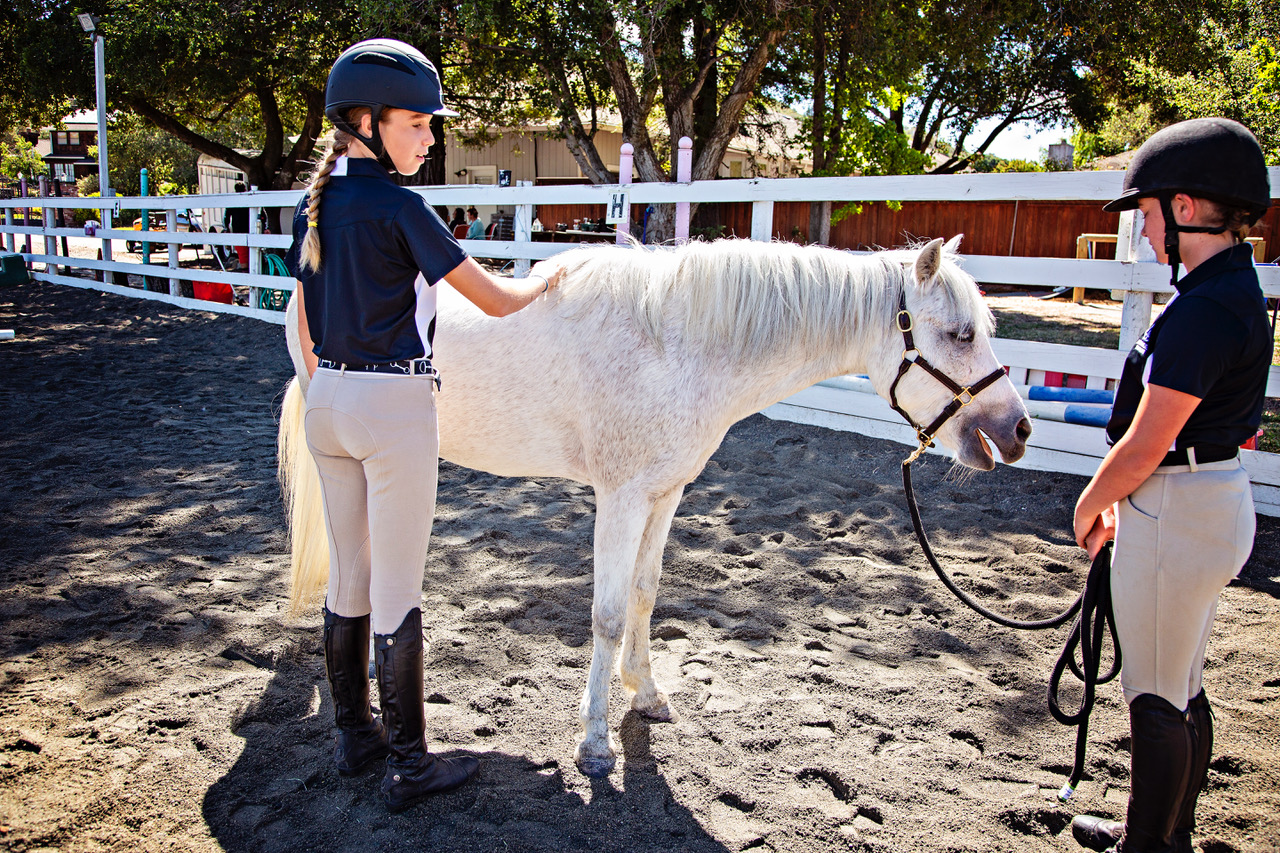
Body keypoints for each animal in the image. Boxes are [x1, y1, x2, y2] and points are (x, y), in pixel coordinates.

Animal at [280, 235, 1029, 773]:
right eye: (961, 333)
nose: (1018, 429)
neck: (678, 345)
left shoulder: (664, 495)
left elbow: (644, 593)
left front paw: (647, 693)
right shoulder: (620, 498)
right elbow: (608, 614)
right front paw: (594, 743)